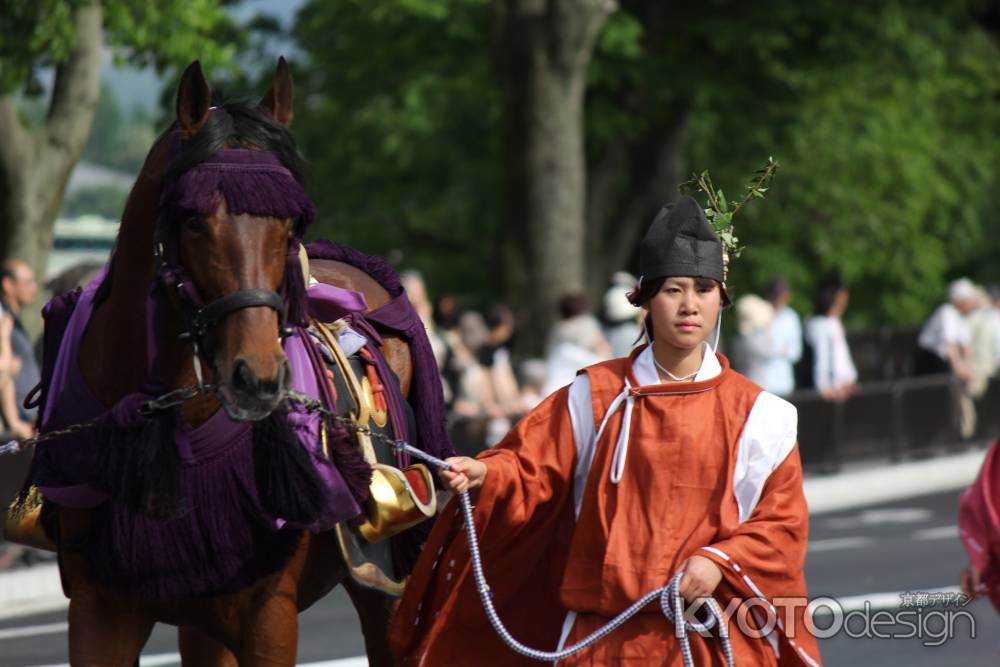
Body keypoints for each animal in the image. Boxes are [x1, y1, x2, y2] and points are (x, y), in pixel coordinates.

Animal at [38, 58, 434, 667]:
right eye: (195, 220)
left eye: (289, 224)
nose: (257, 378)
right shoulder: (99, 611)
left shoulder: (266, 614)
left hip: (385, 579)